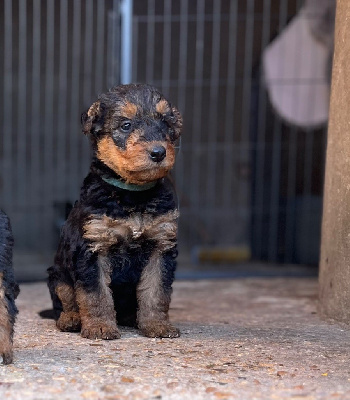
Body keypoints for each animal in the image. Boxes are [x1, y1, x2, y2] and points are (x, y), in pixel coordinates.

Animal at [47, 83, 183, 340]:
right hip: (57, 273)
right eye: (126, 125)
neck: (134, 196)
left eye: (165, 123)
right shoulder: (93, 247)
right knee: (65, 298)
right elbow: (95, 294)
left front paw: (157, 325)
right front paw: (100, 327)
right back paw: (71, 319)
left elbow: (156, 291)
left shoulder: (161, 246)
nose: (159, 153)